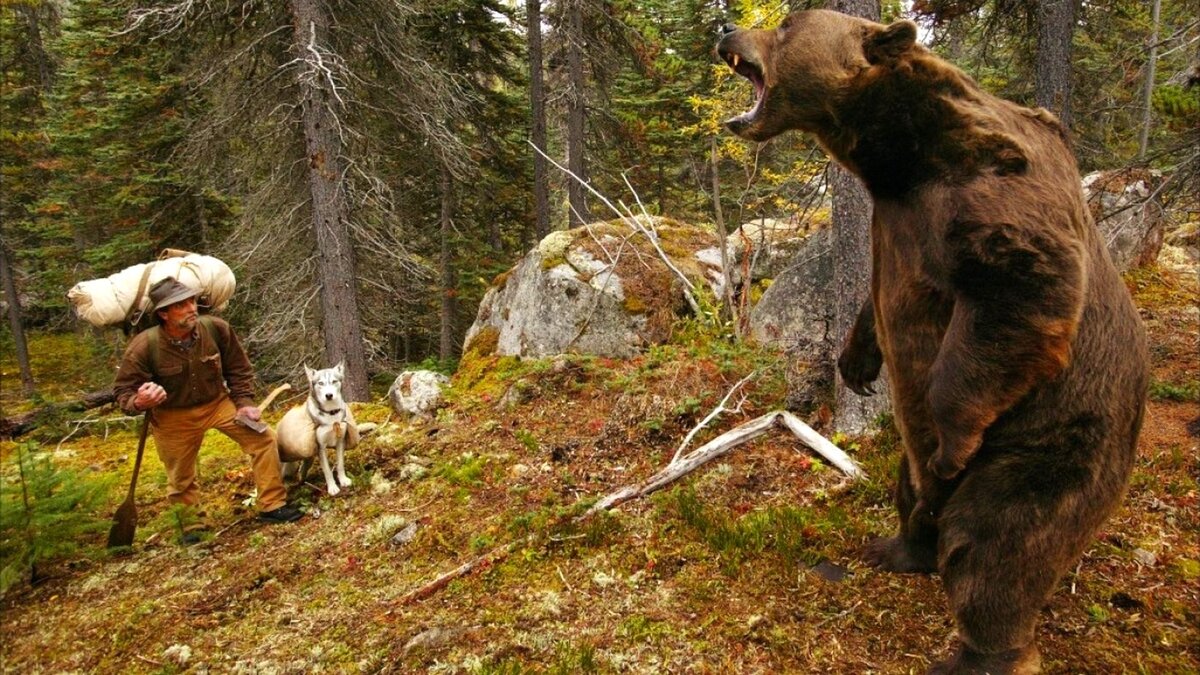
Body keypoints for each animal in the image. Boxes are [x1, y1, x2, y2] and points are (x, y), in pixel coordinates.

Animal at [274, 362, 355, 494]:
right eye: (320, 383)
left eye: (334, 381)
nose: (329, 395)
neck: (331, 414)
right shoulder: (320, 447)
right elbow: (327, 470)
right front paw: (332, 488)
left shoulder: (340, 441)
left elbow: (340, 464)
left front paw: (343, 480)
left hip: (308, 458)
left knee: (302, 470)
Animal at [715, 9, 1147, 672]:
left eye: (787, 24)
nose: (726, 32)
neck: (898, 161)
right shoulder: (896, 223)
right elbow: (878, 303)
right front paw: (856, 361)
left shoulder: (992, 182)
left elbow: (1022, 282)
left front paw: (953, 440)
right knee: (912, 490)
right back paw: (895, 547)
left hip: (1059, 443)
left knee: (994, 546)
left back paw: (975, 650)